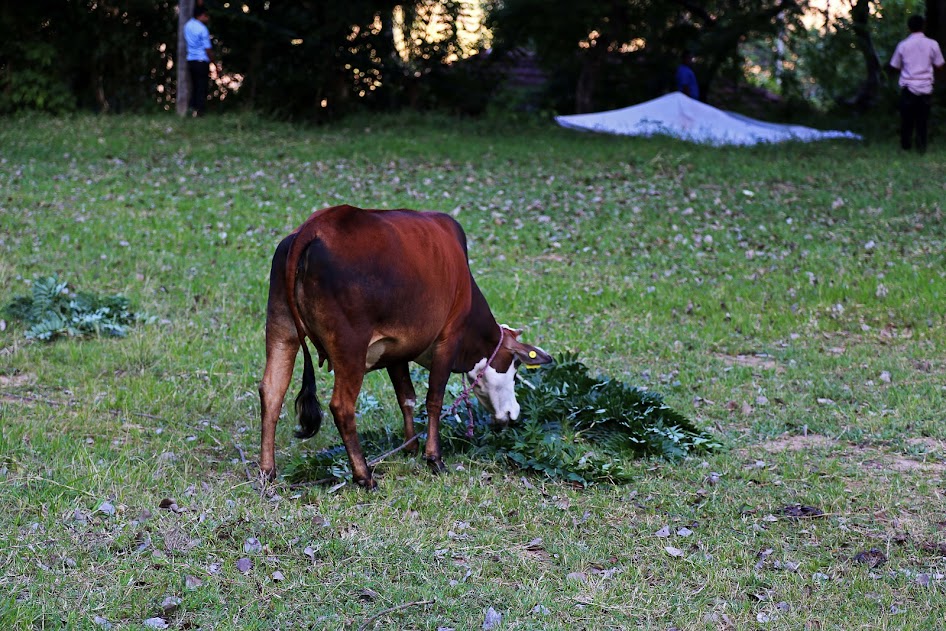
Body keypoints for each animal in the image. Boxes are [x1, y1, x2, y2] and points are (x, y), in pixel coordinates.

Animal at [258, 207, 552, 488]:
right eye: (514, 367)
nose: (513, 413)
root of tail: (313, 227)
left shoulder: (395, 349)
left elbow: (406, 397)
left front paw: (411, 446)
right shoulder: (449, 338)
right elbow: (434, 399)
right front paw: (434, 458)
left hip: (281, 327)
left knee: (272, 391)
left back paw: (267, 471)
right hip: (350, 348)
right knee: (342, 406)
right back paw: (364, 475)